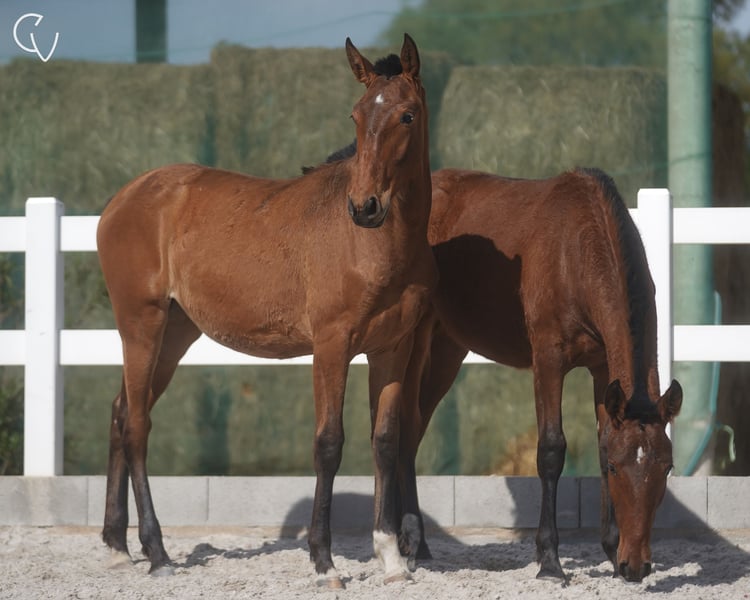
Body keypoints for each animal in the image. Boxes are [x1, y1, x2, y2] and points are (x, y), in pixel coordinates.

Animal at [96, 34, 437, 588]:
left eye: (407, 115)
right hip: (141, 326)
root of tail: (123, 198)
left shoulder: (392, 349)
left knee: (121, 412)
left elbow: (385, 441)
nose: (364, 207)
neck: (377, 247)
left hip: (174, 334)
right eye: (356, 115)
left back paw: (117, 547)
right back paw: (158, 552)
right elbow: (329, 444)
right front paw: (324, 562)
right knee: (137, 426)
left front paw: (390, 559)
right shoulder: (332, 346)